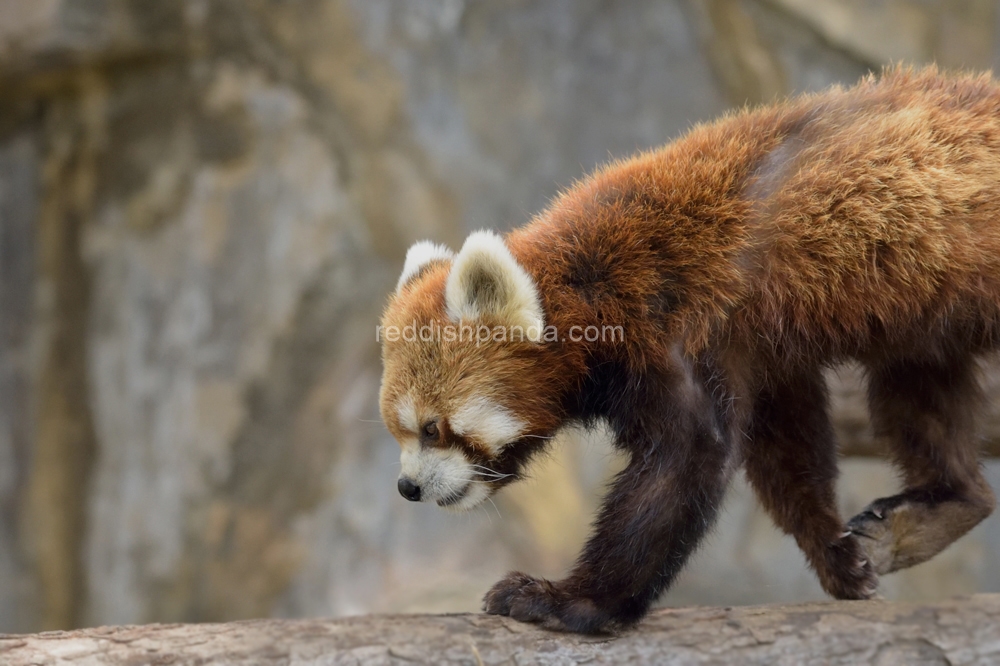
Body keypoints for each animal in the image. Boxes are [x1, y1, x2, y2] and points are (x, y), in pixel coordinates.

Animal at [378, 67, 996, 632]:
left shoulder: (678, 326)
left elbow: (686, 458)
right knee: (922, 392)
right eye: (400, 431)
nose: (408, 488)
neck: (591, 284)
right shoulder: (760, 349)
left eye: (432, 427)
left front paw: (571, 601)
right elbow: (787, 443)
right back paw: (947, 505)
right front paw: (837, 554)